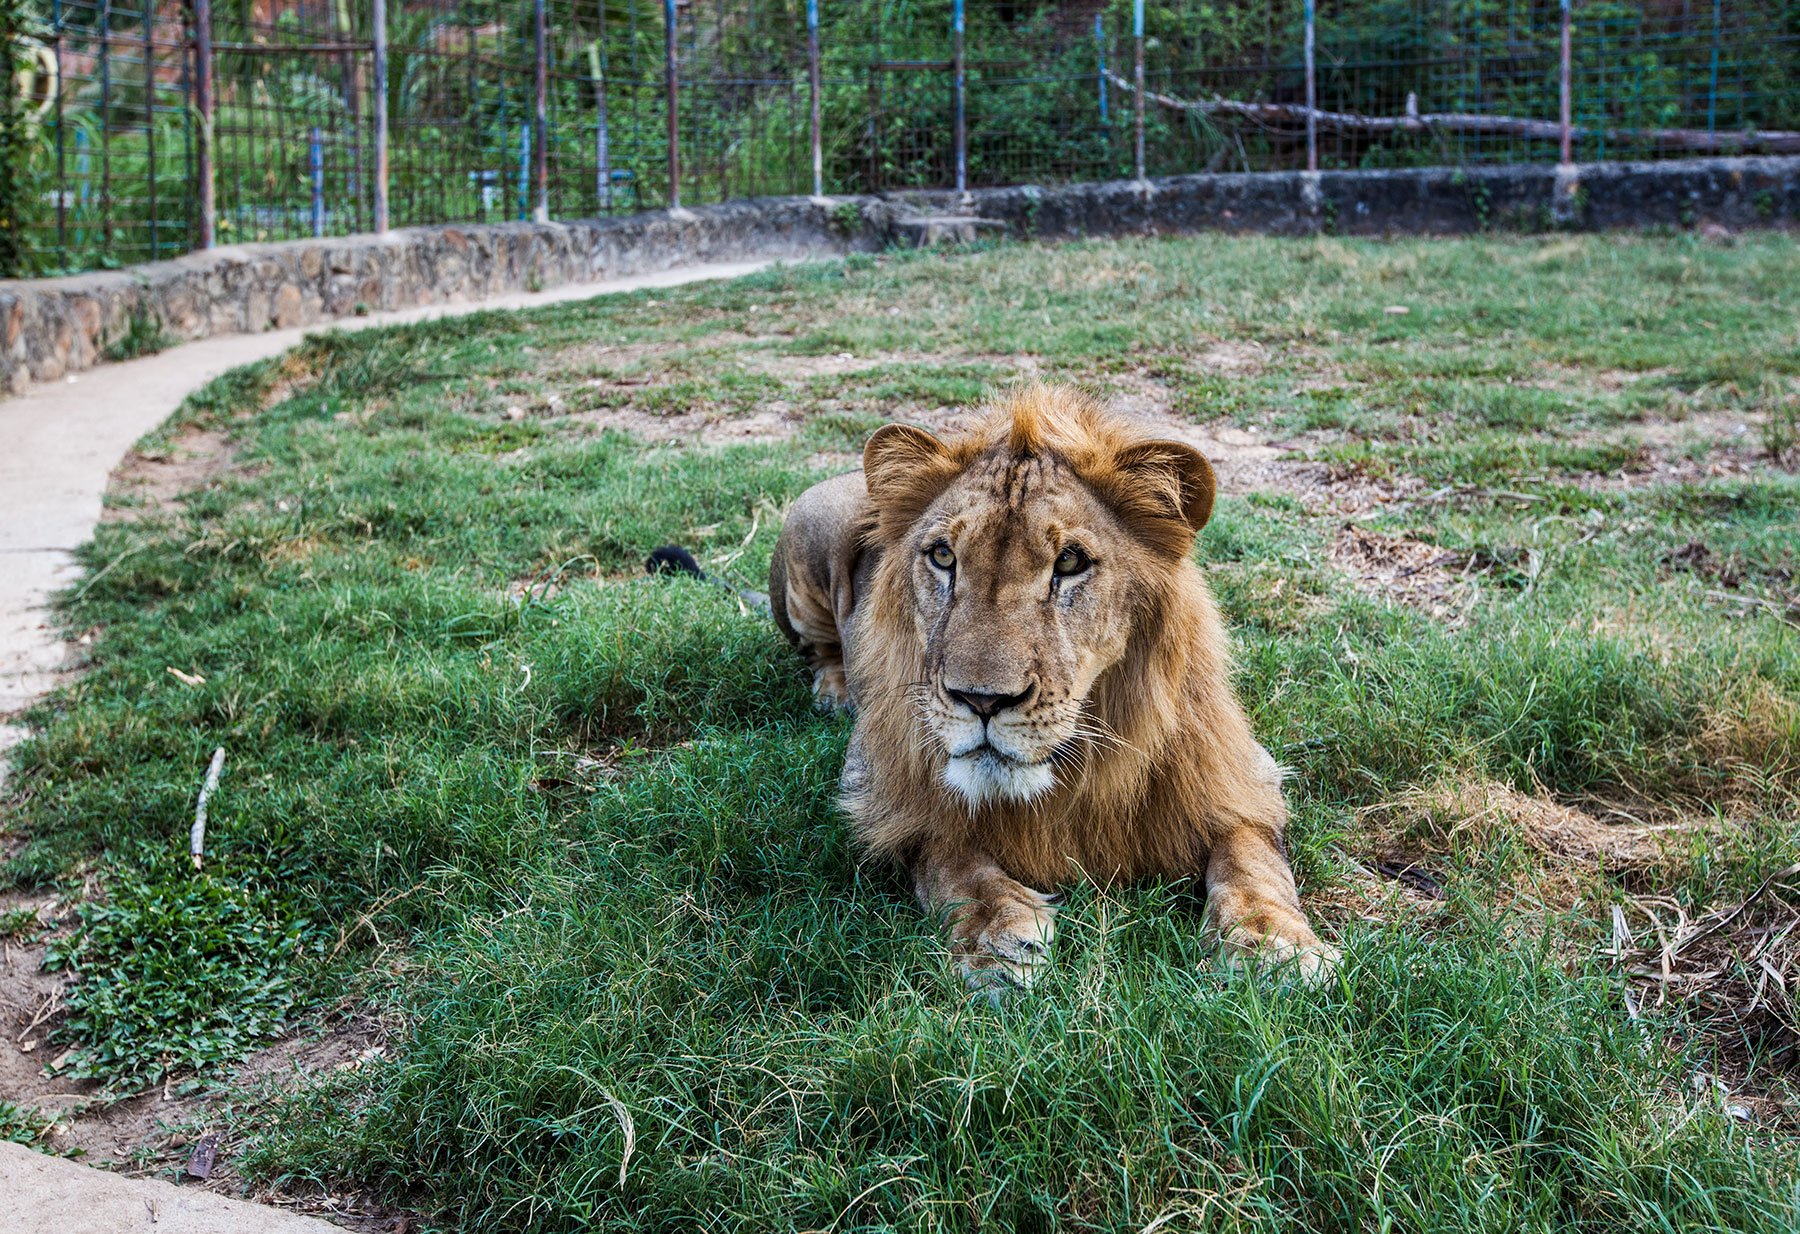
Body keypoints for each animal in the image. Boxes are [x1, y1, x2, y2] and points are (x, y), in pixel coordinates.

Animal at [766, 381, 1332, 992]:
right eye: (943, 556)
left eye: (1070, 562)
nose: (982, 700)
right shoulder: (874, 781)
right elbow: (946, 853)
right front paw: (996, 937)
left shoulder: (1244, 772)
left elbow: (1252, 854)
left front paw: (1272, 943)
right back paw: (834, 691)